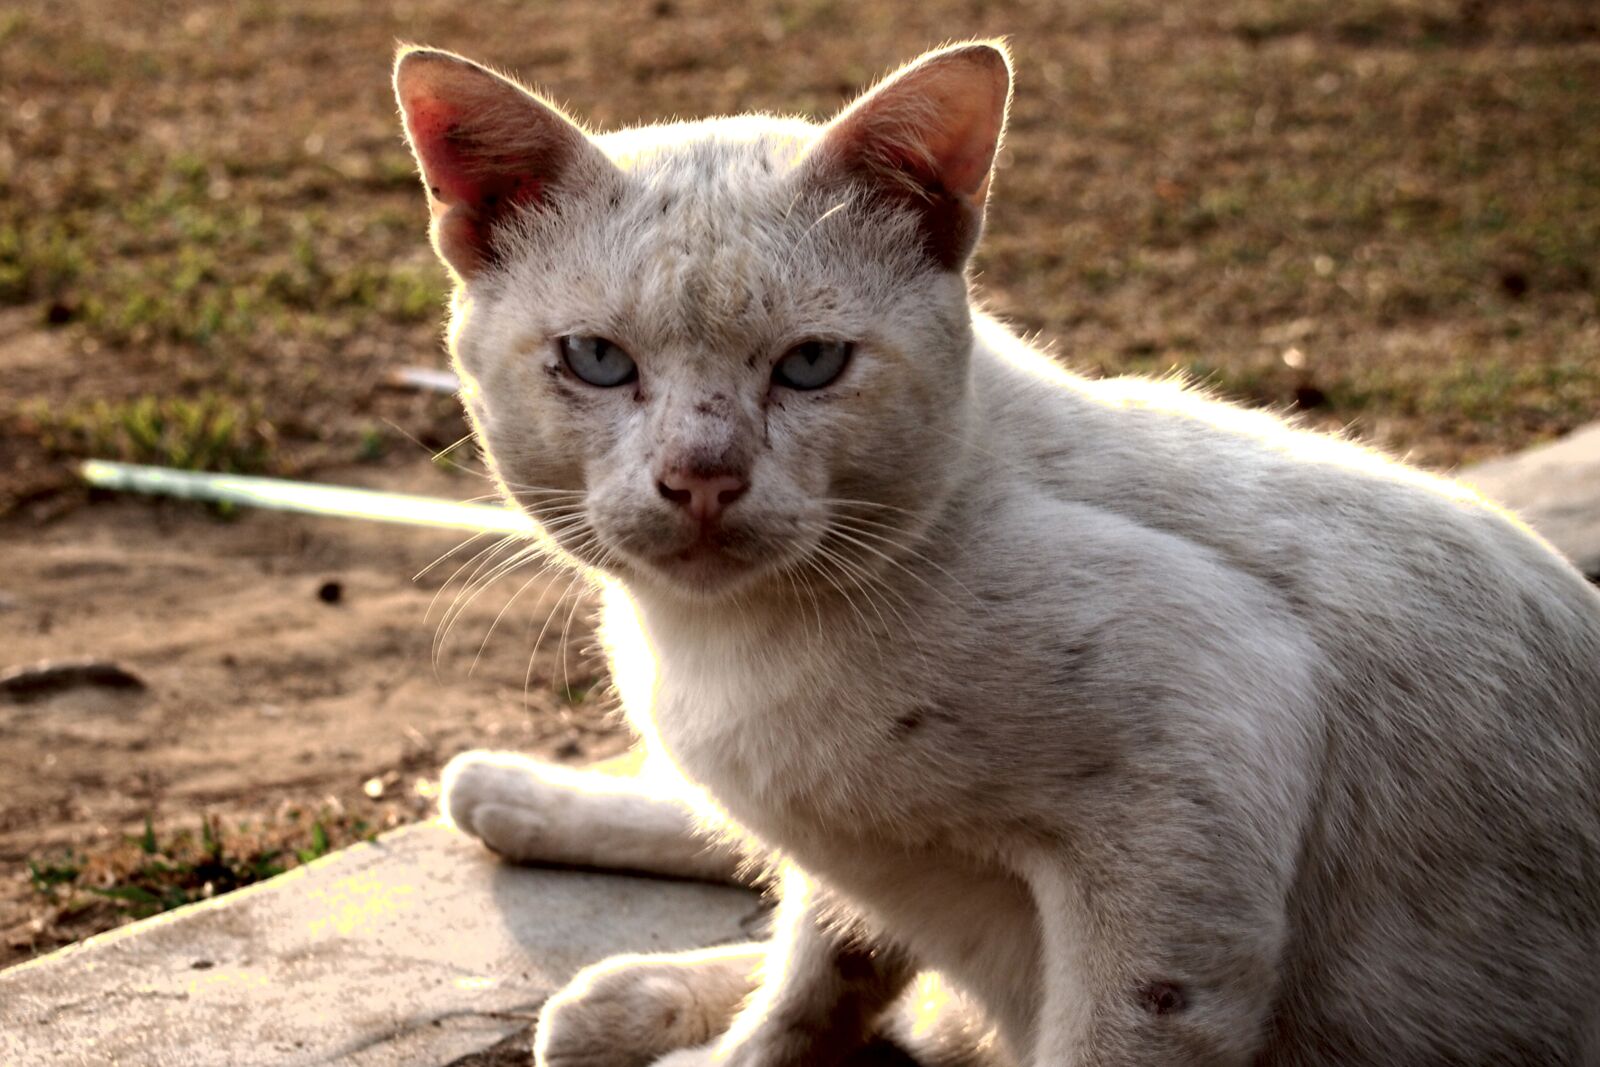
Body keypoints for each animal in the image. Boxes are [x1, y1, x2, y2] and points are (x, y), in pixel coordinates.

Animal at [393, 41, 1600, 1067]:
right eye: (598, 361)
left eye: (811, 365)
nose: (702, 477)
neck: (717, 652)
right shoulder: (862, 862)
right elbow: (811, 985)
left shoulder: (1195, 781)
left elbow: (956, 1001)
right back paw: (542, 859)